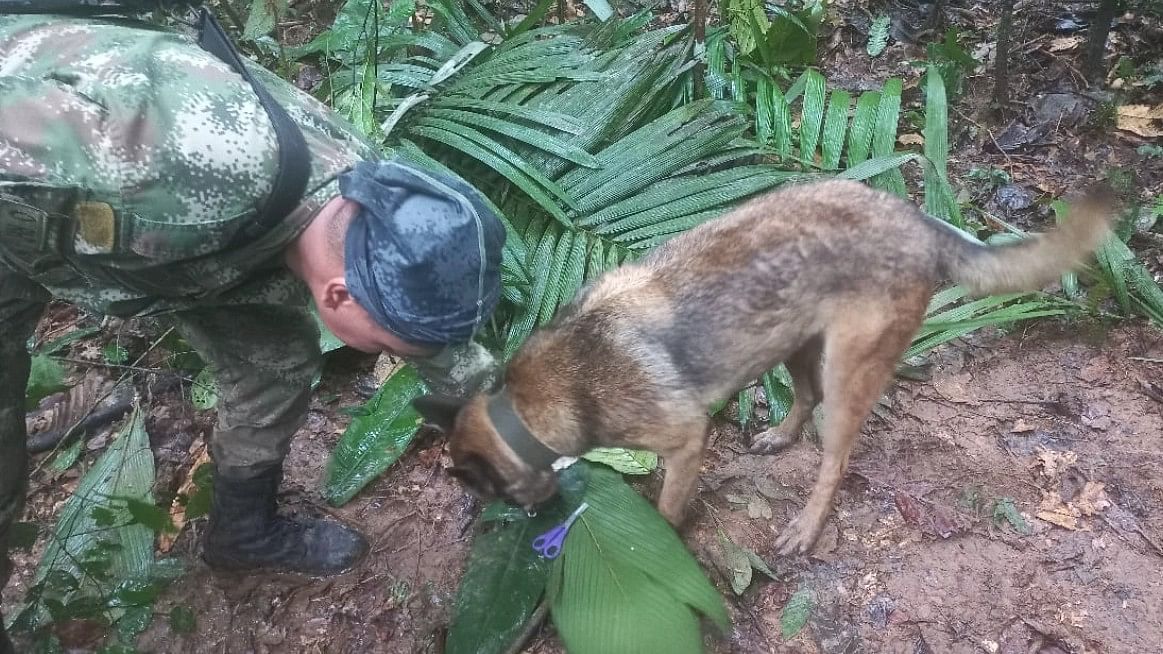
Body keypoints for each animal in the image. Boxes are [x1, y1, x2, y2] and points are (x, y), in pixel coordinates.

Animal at [414, 176, 1111, 549]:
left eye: (488, 492)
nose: (533, 520)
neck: (527, 406)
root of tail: (918, 220)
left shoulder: (685, 440)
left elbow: (667, 508)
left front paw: (663, 542)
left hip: (846, 371)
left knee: (835, 459)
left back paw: (806, 525)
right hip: (793, 342)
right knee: (803, 397)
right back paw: (779, 436)